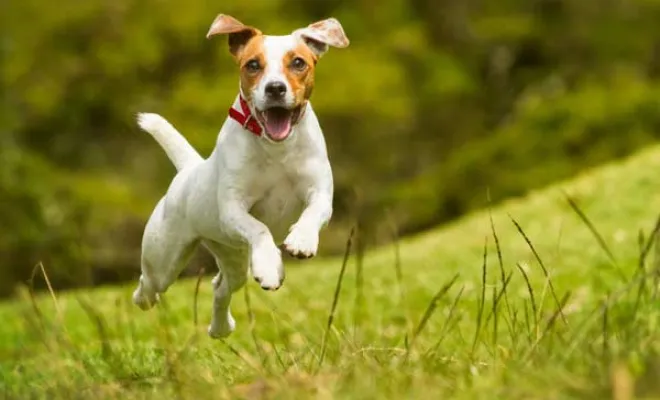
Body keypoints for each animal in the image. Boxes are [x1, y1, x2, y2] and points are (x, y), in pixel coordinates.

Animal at [130, 13, 350, 338]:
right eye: (253, 65)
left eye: (298, 62)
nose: (275, 88)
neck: (276, 148)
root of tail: (188, 170)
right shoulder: (233, 210)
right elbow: (260, 229)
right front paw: (270, 264)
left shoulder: (320, 193)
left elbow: (312, 213)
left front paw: (301, 240)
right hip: (164, 258)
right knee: (149, 285)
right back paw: (145, 299)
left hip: (232, 256)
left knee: (220, 286)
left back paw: (221, 327)